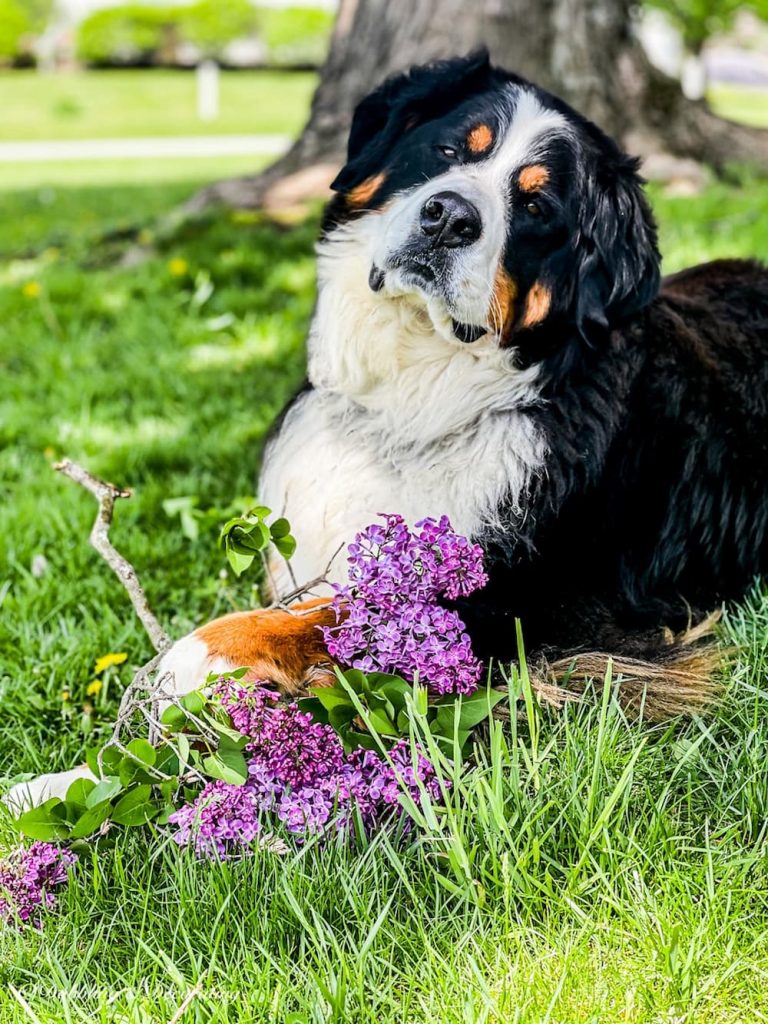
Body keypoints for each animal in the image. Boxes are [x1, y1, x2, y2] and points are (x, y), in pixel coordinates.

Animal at [6, 54, 768, 806]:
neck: (408, 407)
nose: (450, 216)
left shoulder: (538, 608)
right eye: (450, 150)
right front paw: (55, 787)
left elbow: (336, 619)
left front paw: (192, 656)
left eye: (537, 206)